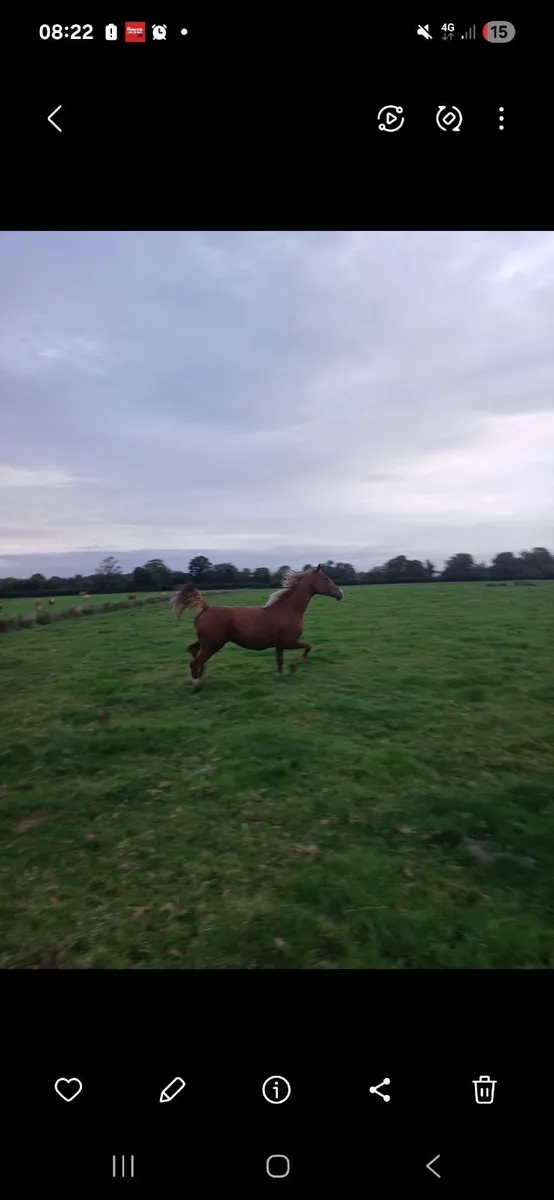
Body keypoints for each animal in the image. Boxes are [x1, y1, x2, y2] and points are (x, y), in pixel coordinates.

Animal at [170, 565, 343, 685]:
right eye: (326, 578)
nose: (340, 593)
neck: (288, 609)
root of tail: (206, 607)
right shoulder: (289, 641)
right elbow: (308, 647)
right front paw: (293, 668)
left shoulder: (280, 644)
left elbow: (279, 661)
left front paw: (280, 675)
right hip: (213, 644)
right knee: (195, 662)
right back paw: (197, 683)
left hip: (206, 642)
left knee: (193, 649)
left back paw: (201, 673)